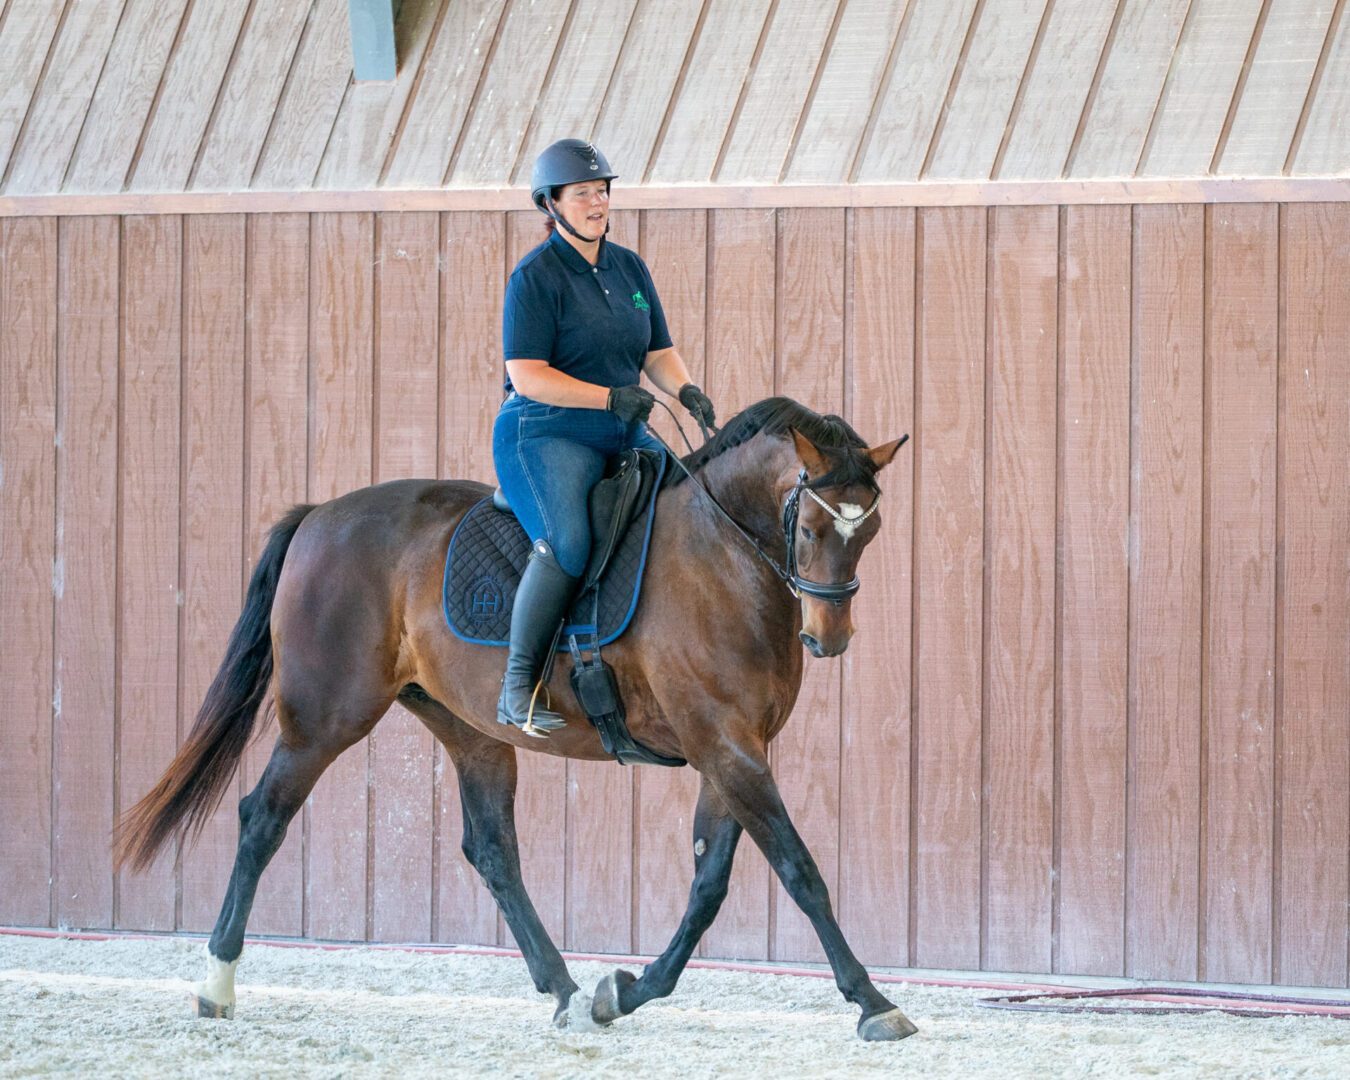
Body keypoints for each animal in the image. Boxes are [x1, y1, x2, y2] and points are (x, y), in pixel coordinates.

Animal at [114, 396, 914, 1042]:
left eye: (870, 530)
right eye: (810, 529)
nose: (829, 638)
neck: (723, 560)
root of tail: (318, 515)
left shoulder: (733, 749)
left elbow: (708, 887)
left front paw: (625, 993)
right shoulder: (725, 745)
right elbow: (799, 870)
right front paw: (874, 1003)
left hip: (469, 731)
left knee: (493, 851)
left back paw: (565, 991)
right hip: (324, 719)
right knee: (262, 819)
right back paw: (216, 985)